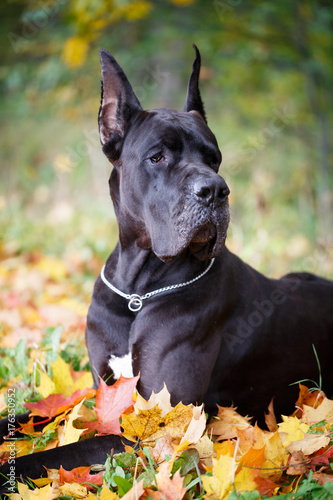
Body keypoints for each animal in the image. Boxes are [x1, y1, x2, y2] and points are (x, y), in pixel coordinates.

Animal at [0, 45, 332, 490]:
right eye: (157, 157)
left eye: (214, 159)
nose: (216, 190)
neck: (138, 289)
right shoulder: (100, 396)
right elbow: (38, 414)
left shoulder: (155, 427)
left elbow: (56, 453)